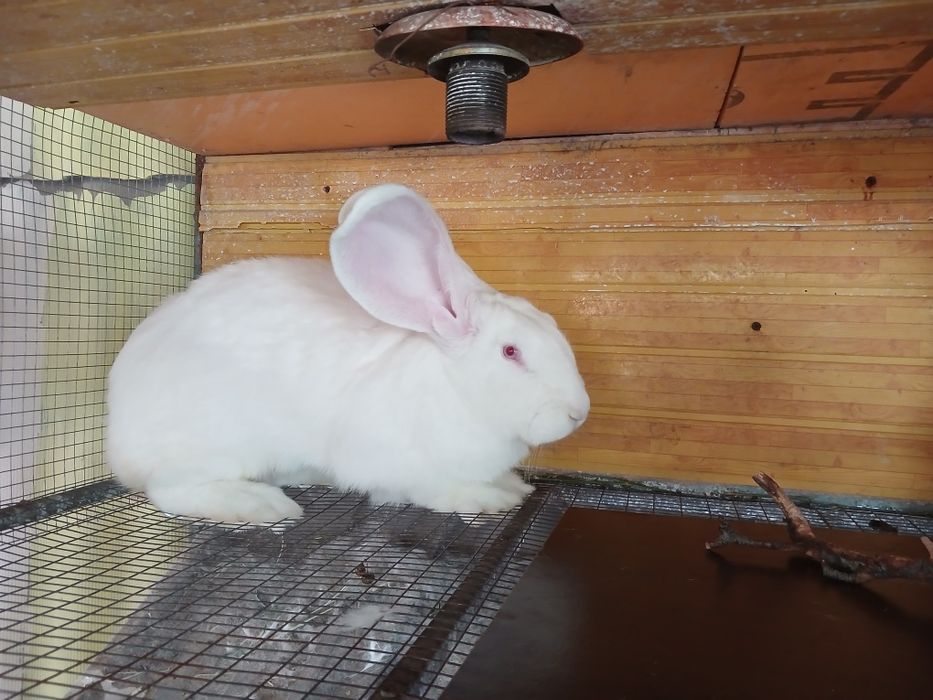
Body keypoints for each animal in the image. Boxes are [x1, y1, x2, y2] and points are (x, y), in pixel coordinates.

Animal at [106, 184, 590, 523]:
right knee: (172, 491)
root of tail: (117, 439)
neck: (454, 388)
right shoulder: (399, 464)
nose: (579, 413)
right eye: (511, 352)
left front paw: (512, 487)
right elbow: (430, 490)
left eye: (552, 325)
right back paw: (258, 504)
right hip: (215, 444)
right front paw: (486, 497)